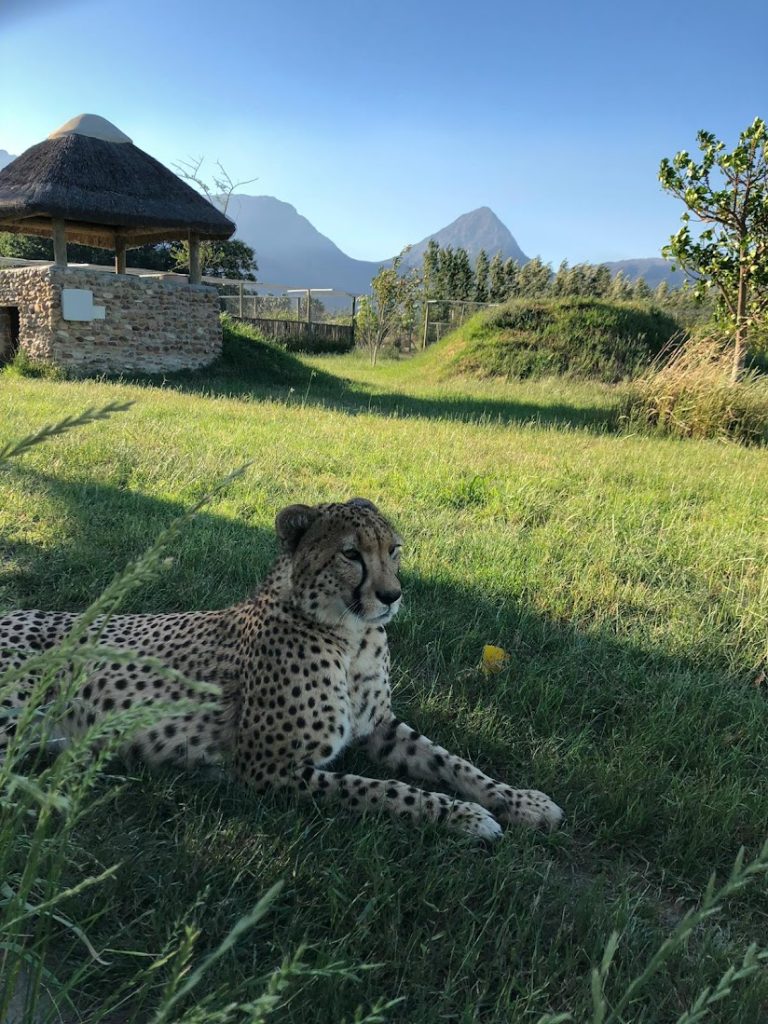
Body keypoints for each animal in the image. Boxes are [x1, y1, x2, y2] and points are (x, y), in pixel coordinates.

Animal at [0, 497, 565, 839]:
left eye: (394, 550)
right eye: (351, 554)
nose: (392, 596)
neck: (350, 636)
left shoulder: (379, 727)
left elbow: (454, 762)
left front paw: (519, 801)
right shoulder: (268, 768)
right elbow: (383, 790)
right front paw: (465, 816)